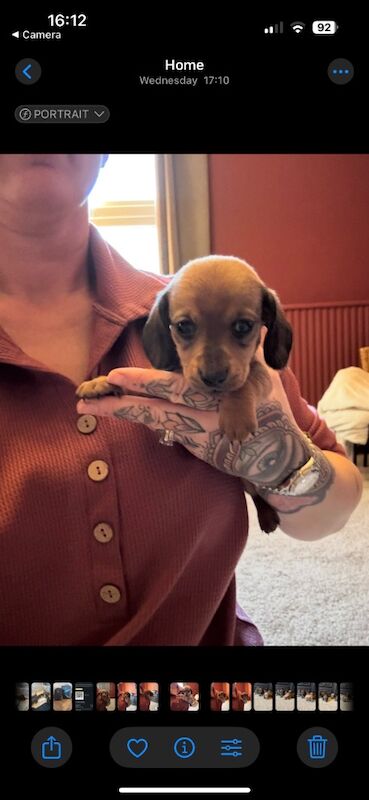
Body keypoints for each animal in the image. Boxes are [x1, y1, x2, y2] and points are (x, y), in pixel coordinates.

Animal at [76, 256, 292, 532]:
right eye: (184, 326)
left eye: (243, 326)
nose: (213, 377)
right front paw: (100, 383)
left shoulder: (260, 375)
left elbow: (243, 384)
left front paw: (236, 417)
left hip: (248, 479)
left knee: (256, 493)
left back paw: (266, 516)